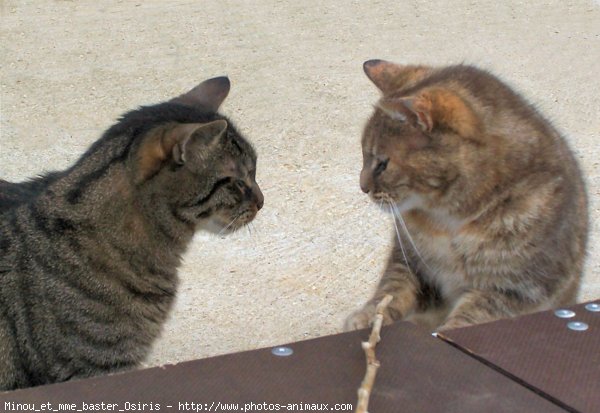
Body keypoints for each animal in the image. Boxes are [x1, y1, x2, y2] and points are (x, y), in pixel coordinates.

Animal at [344, 60, 588, 332]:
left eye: (382, 164)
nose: (362, 187)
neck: (448, 222)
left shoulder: (513, 289)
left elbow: (470, 317)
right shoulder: (410, 263)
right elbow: (391, 291)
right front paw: (368, 317)